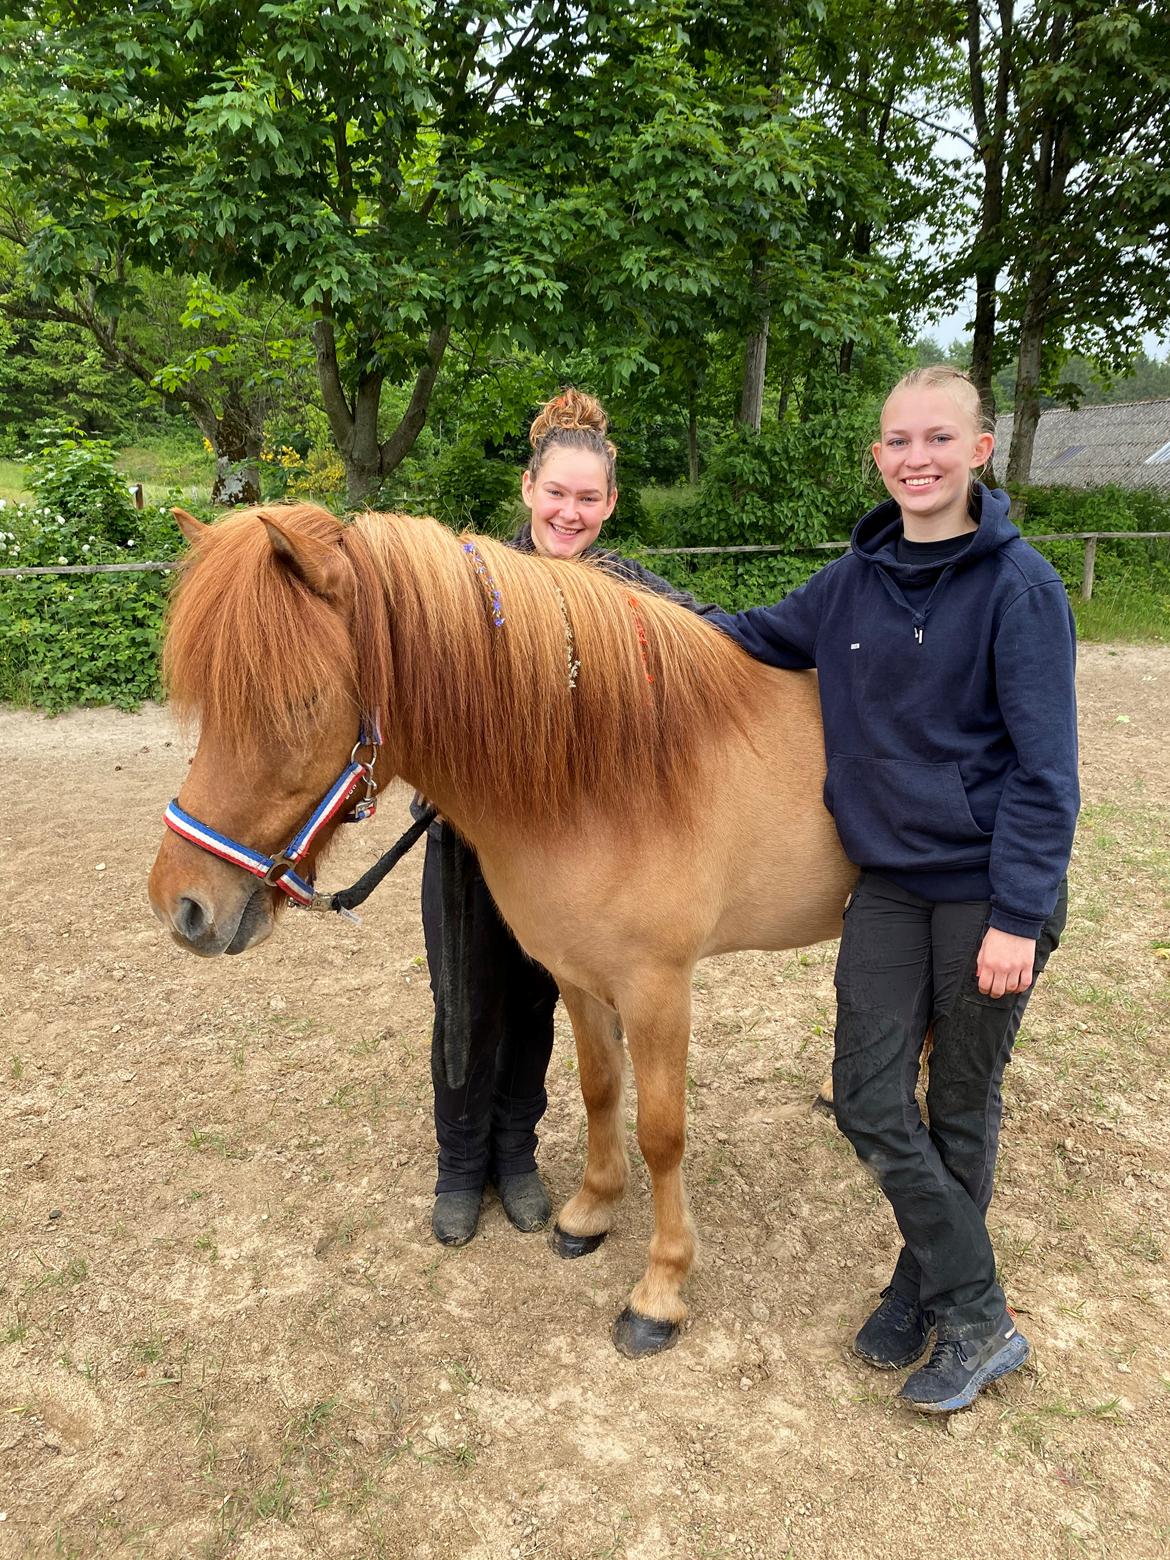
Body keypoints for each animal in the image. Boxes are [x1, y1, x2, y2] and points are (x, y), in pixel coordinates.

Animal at [153, 505, 854, 1360]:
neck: (615, 774)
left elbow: (661, 1133)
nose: (181, 905)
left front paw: (660, 1292)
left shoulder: (657, 990)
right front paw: (590, 1211)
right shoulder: (580, 976)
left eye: (297, 703)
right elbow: (597, 1089)